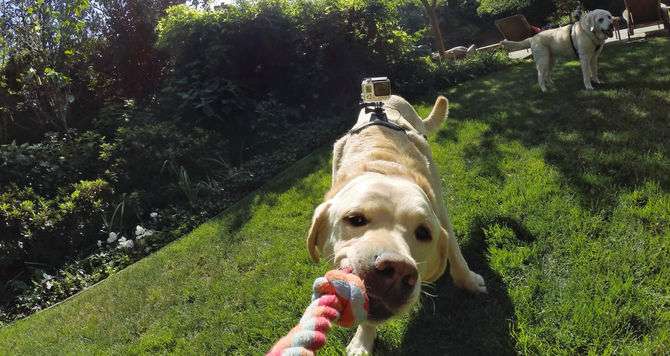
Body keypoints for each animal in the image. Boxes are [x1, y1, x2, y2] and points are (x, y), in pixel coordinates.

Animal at [308, 96, 488, 354]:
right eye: (355, 219)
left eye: (423, 233)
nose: (397, 270)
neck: (382, 163)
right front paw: (363, 339)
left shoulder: (440, 210)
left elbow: (455, 251)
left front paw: (468, 282)